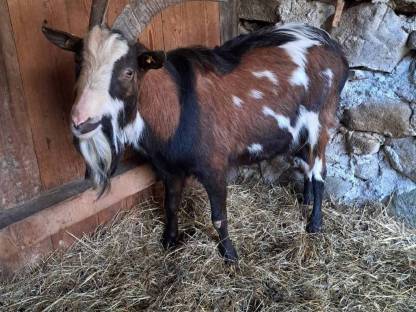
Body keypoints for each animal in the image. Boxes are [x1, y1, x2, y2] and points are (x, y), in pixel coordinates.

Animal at [41, 0, 348, 262]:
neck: (177, 105)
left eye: (128, 71)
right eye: (78, 63)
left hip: (321, 121)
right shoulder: (168, 169)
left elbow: (218, 216)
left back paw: (314, 223)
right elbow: (171, 204)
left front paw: (229, 255)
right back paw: (305, 200)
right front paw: (169, 240)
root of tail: (334, 48)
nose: (81, 120)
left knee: (319, 171)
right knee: (306, 163)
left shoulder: (214, 166)